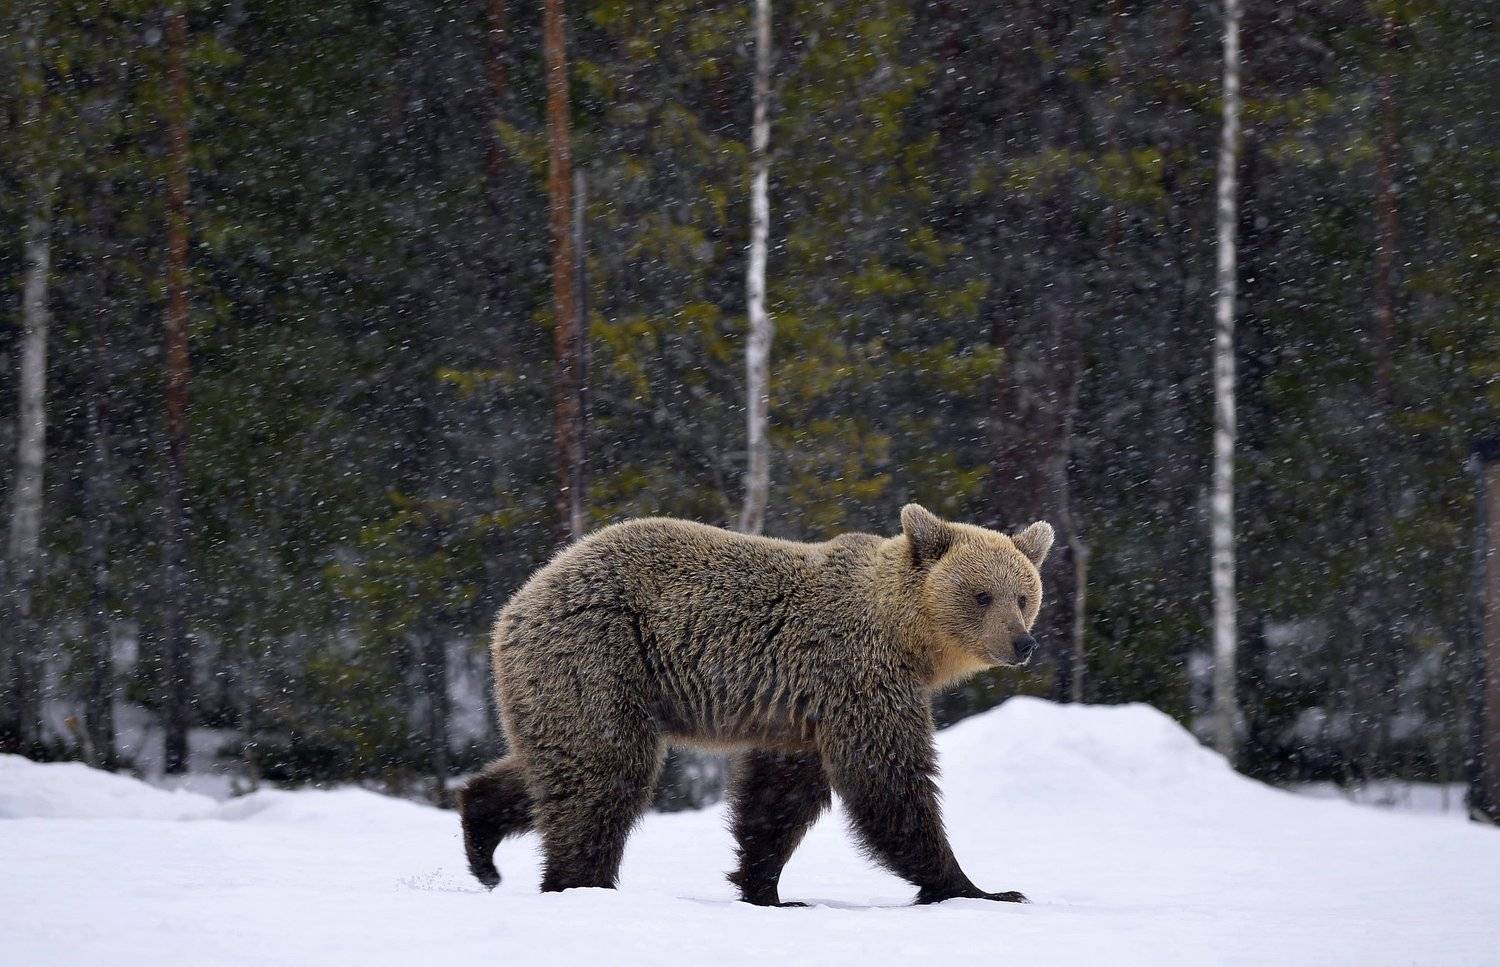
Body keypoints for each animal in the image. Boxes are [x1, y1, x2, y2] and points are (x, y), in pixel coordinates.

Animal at [457, 503, 1052, 906]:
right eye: (982, 595)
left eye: (1024, 595)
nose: (1022, 643)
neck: (908, 640)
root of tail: (518, 602)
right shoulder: (856, 676)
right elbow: (887, 779)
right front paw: (978, 887)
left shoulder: (801, 710)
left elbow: (780, 798)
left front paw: (766, 887)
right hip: (600, 653)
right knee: (605, 768)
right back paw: (580, 881)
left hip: (567, 680)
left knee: (552, 762)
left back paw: (482, 840)